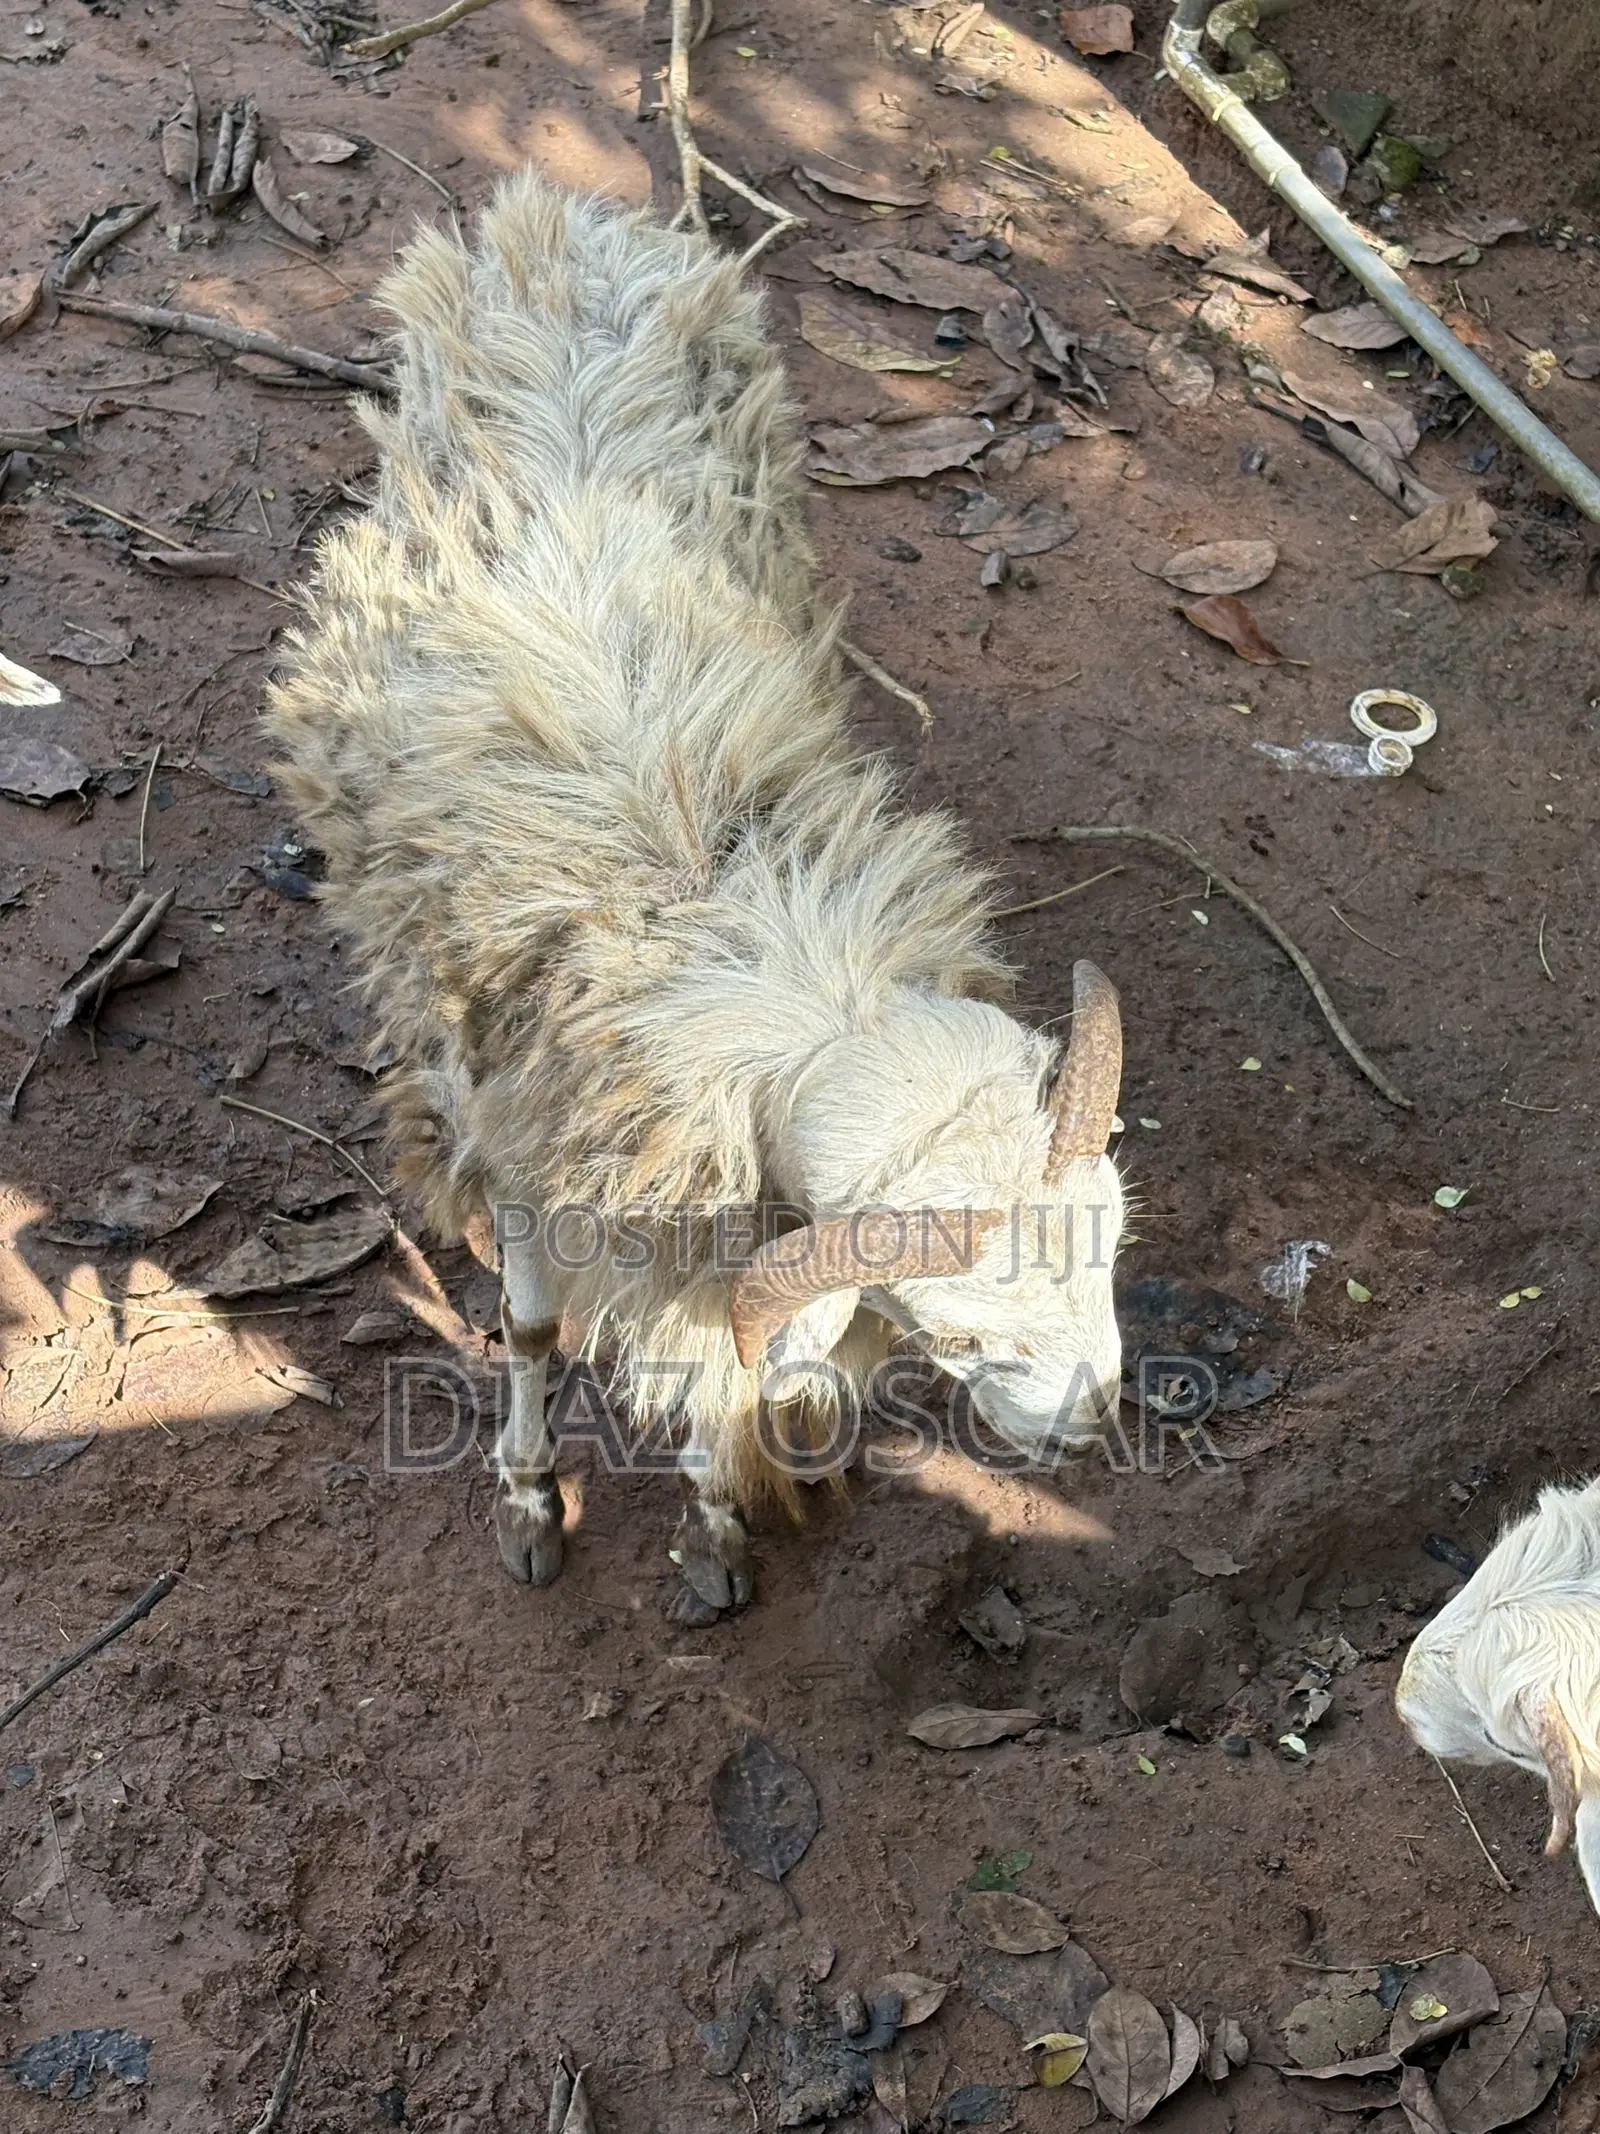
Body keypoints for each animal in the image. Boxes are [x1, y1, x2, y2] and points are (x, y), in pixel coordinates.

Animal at [265, 172, 1127, 1619]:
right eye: (958, 1326)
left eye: (1113, 1239)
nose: (1093, 1416)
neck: (728, 922)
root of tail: (560, 210)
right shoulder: (528, 1145)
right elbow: (534, 1325)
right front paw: (529, 1502)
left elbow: (745, 1373)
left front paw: (719, 1526)